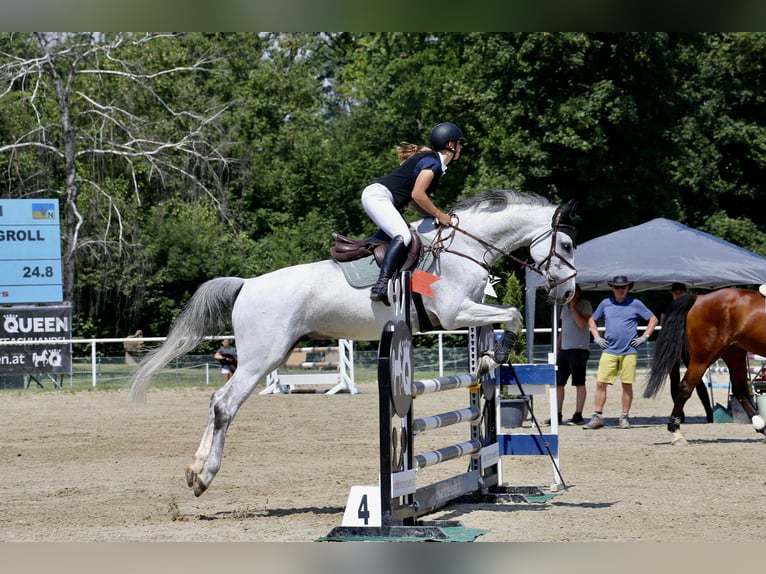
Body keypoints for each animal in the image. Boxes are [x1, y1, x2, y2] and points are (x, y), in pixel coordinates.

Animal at [129, 191, 580, 498]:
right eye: (568, 245)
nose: (568, 293)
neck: (465, 247)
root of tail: (247, 285)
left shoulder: (466, 312)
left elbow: (505, 319)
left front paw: (486, 360)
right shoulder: (456, 313)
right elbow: (514, 314)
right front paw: (496, 356)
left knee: (217, 403)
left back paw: (197, 471)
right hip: (262, 357)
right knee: (224, 403)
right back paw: (202, 475)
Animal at [648, 288, 766, 446]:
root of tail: (699, 298)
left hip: (734, 353)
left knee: (740, 391)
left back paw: (762, 427)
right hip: (704, 357)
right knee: (685, 387)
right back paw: (676, 433)